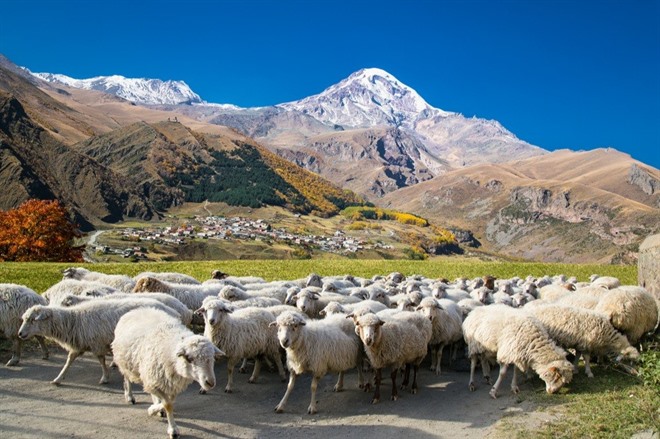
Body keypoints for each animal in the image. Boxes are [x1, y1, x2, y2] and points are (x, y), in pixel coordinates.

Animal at [19, 300, 182, 384]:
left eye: (32, 320)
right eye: (25, 319)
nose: (20, 334)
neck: (73, 321)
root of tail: (173, 310)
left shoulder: (97, 343)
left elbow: (101, 360)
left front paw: (105, 377)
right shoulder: (78, 344)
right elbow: (69, 361)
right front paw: (58, 378)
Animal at [109, 310, 220, 439]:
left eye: (213, 357)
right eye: (189, 358)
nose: (210, 383)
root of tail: (136, 310)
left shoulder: (172, 383)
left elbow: (169, 401)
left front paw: (155, 409)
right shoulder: (153, 381)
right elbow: (168, 404)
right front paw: (172, 428)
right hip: (125, 362)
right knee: (127, 378)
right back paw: (130, 396)